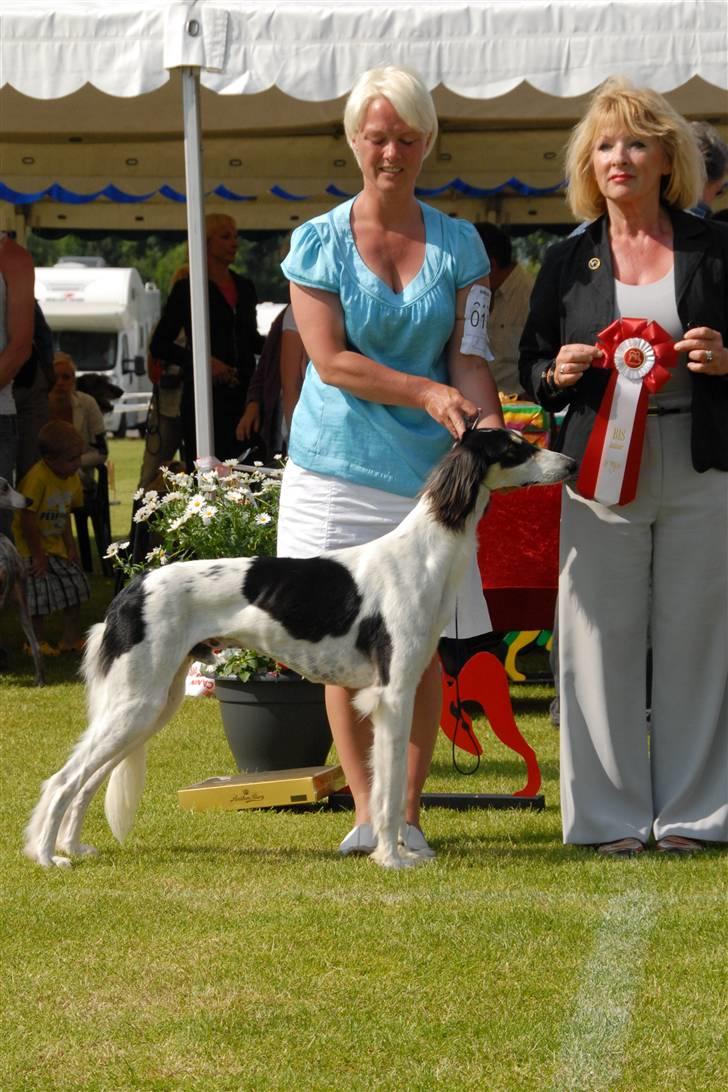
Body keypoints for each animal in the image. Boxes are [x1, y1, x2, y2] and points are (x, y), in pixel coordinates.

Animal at [25, 425, 576, 869]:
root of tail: (133, 587)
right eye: (517, 448)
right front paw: (392, 858)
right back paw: (48, 857)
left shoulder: (402, 689)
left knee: (86, 782)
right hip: (138, 703)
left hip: (153, 704)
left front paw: (397, 850)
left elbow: (390, 785)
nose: (570, 465)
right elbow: (390, 785)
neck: (423, 551)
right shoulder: (392, 695)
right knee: (62, 780)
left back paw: (73, 847)